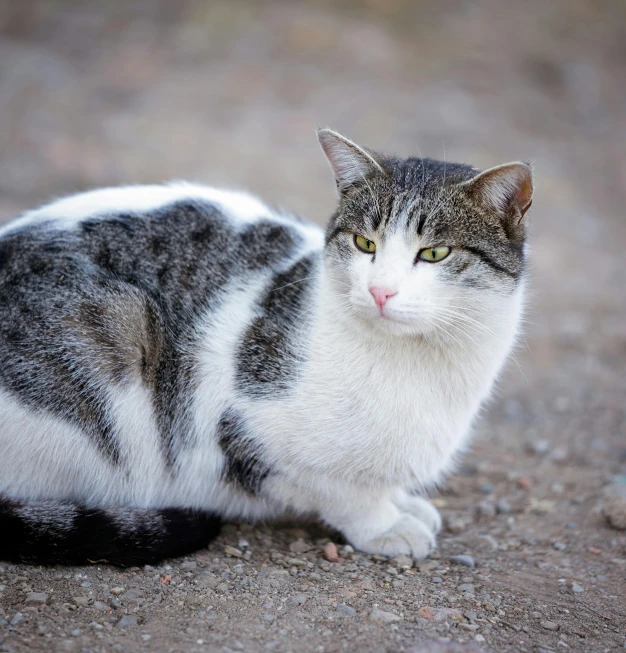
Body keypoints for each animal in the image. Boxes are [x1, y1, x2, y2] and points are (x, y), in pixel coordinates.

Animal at [0, 129, 532, 564]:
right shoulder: (242, 430)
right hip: (118, 333)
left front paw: (403, 502)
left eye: (435, 253)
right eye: (365, 243)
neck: (422, 363)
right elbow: (340, 491)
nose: (381, 291)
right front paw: (386, 524)